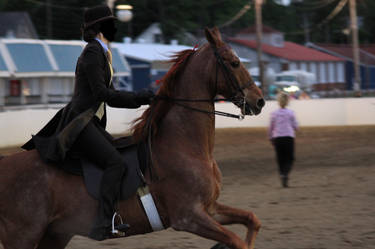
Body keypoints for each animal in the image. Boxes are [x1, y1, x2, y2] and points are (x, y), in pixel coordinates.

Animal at [0, 27, 264, 249]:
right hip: (22, 236)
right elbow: (237, 241)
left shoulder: (210, 209)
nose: (259, 101)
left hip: (55, 234)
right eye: (235, 63)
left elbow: (253, 219)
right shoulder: (189, 216)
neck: (186, 146)